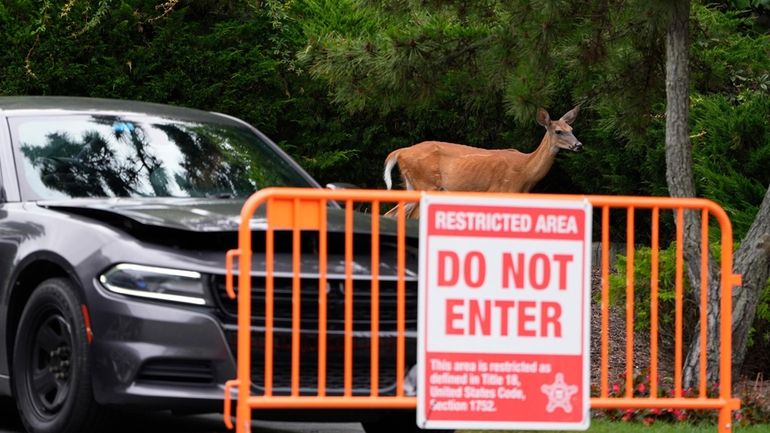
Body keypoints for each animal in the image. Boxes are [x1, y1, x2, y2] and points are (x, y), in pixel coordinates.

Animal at [380, 106, 580, 218]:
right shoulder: (503, 191)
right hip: (426, 183)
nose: (578, 145)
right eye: (558, 131)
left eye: (571, 129)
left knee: (393, 213)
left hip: (412, 185)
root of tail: (400, 152)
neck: (526, 171)